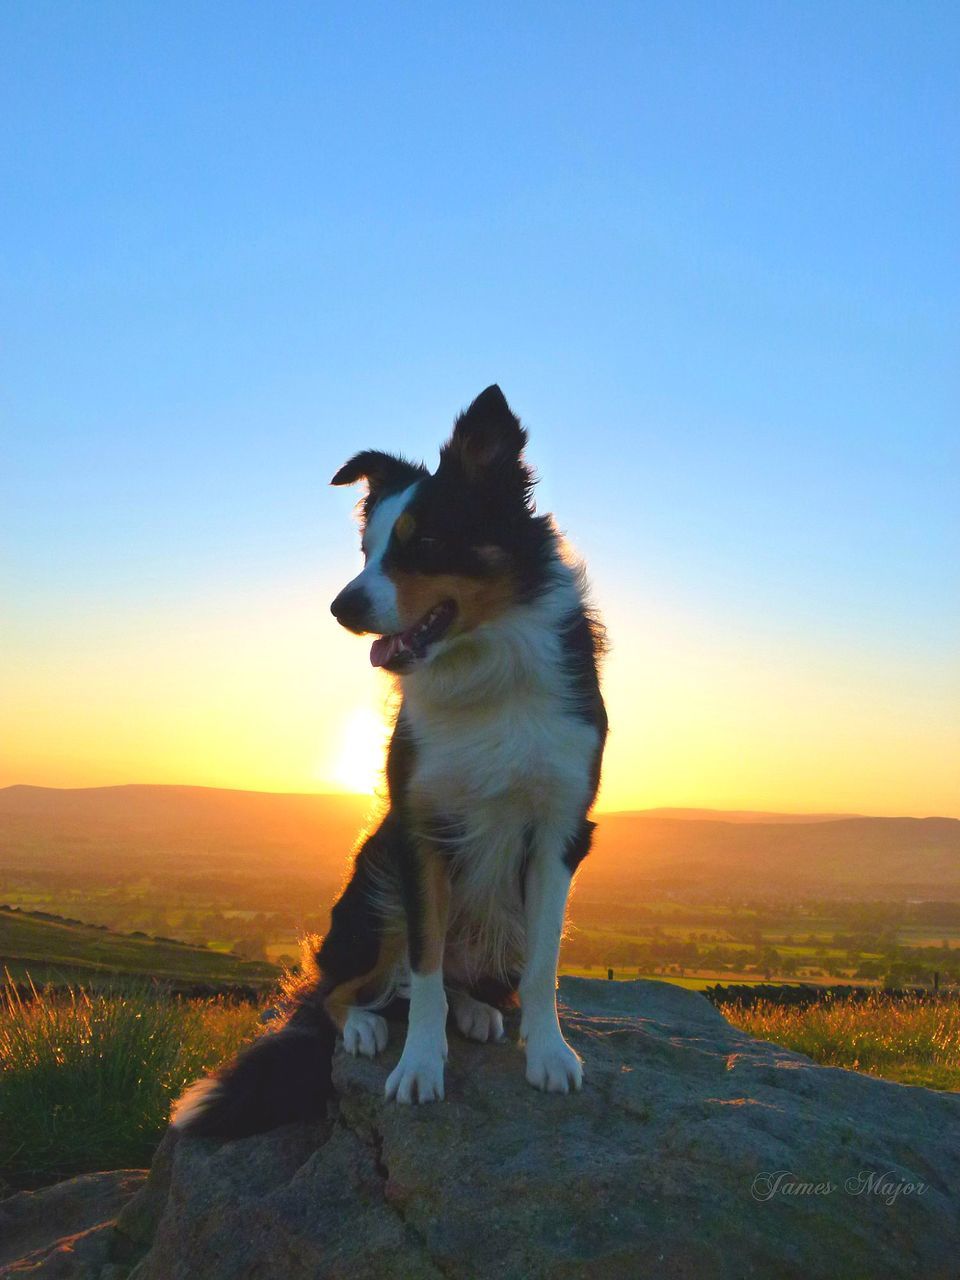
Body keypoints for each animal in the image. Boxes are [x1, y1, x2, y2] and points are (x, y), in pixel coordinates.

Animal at [172, 384, 609, 1136]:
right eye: (366, 549)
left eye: (424, 543)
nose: (340, 607)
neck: (487, 668)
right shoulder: (418, 829)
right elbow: (426, 965)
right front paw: (419, 1067)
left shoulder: (560, 828)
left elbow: (542, 962)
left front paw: (550, 1053)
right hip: (373, 886)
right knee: (340, 989)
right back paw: (365, 1027)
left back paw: (477, 1008)